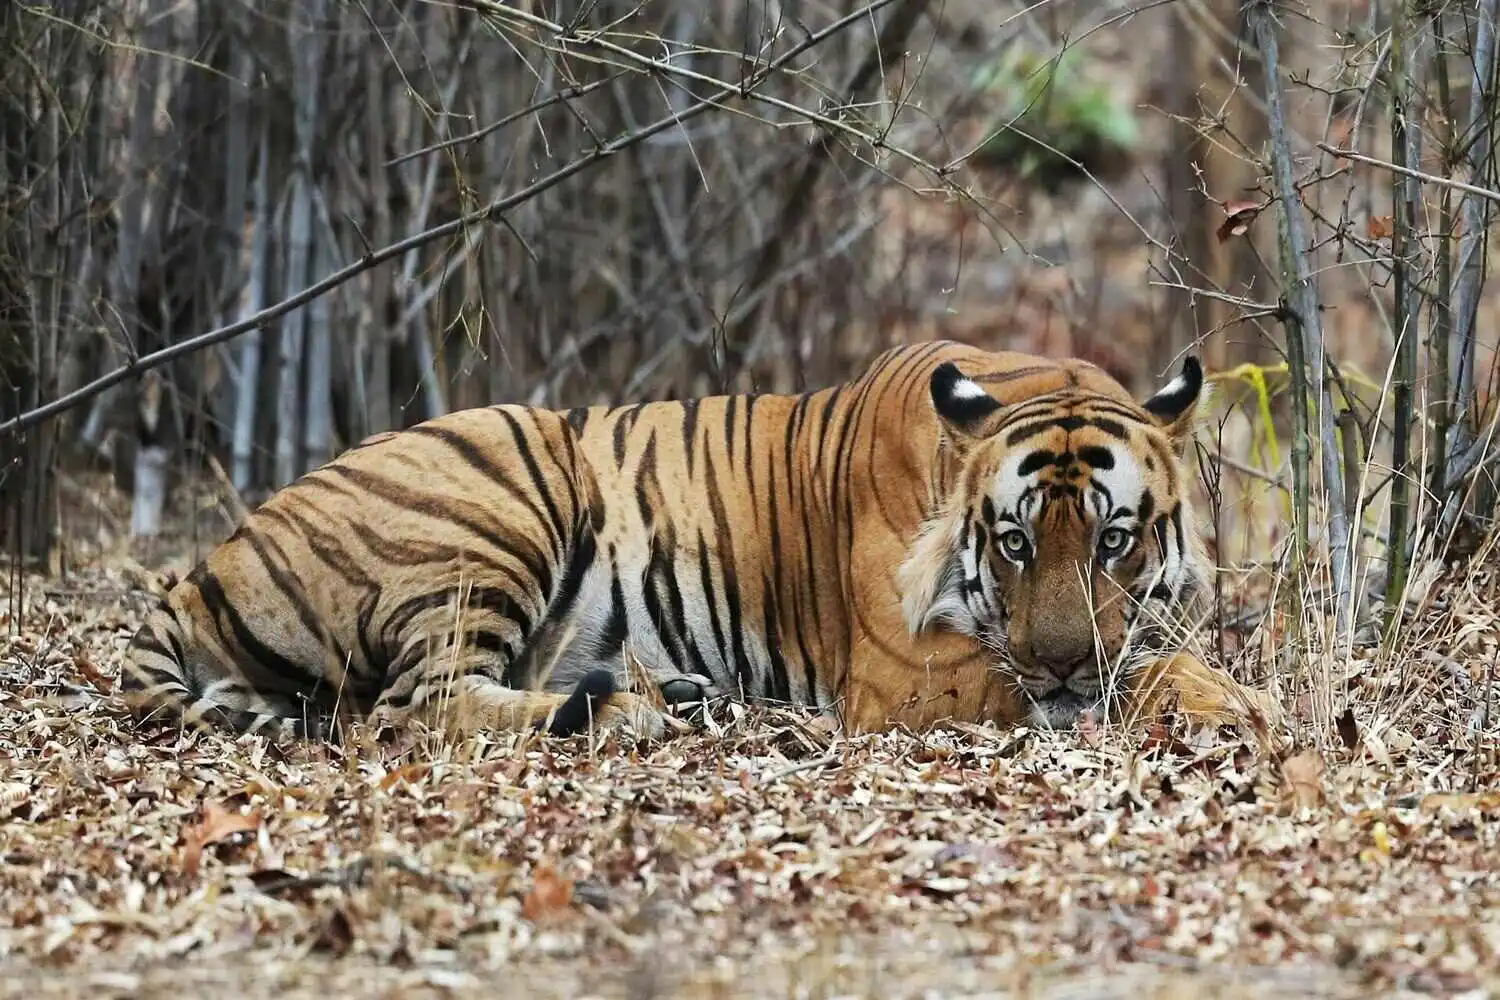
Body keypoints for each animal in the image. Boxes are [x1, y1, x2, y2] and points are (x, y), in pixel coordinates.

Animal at [117, 344, 1242, 743]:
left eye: (1116, 540)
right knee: (415, 707)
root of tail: (197, 575)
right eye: (1011, 541)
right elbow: (1135, 674)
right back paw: (624, 712)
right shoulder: (906, 675)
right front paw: (1223, 705)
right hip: (506, 472)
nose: (1061, 664)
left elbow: (1153, 653)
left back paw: (671, 695)